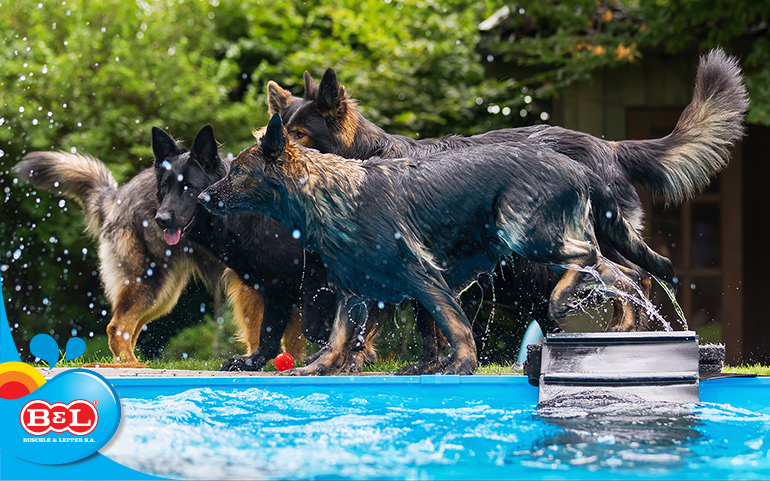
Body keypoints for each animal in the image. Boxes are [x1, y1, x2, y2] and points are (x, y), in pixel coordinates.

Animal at [196, 113, 672, 376]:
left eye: (238, 172)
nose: (202, 198)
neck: (328, 193)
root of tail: (579, 166)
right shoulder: (354, 290)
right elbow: (336, 339)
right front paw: (316, 368)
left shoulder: (424, 277)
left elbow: (453, 327)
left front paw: (461, 367)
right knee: (624, 273)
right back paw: (625, 327)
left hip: (527, 235)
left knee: (592, 261)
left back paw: (574, 305)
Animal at [262, 48, 744, 370]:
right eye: (283, 131)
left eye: (300, 135)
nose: (271, 150)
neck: (362, 158)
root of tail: (610, 147)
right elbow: (421, 321)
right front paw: (419, 365)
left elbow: (410, 319)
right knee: (624, 275)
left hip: (577, 237)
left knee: (631, 274)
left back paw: (625, 330)